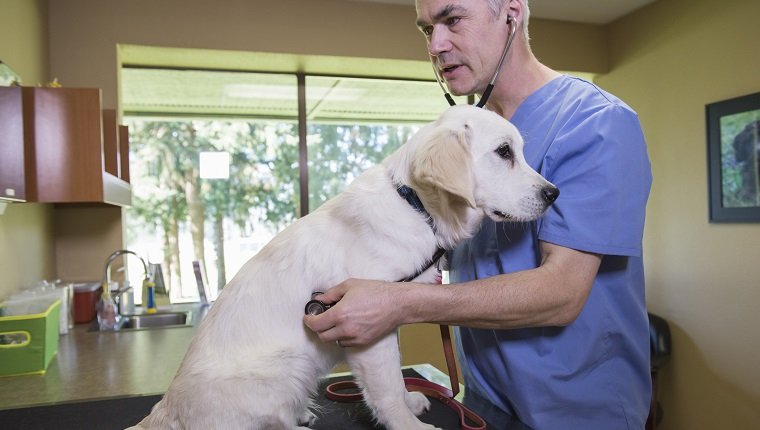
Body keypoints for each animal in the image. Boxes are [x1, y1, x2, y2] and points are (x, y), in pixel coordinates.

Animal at [131, 105, 560, 430]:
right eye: (504, 152)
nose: (554, 194)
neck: (415, 205)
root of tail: (166, 409)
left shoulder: (386, 314)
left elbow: (395, 375)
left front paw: (410, 401)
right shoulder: (364, 327)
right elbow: (385, 389)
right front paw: (409, 425)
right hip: (285, 366)